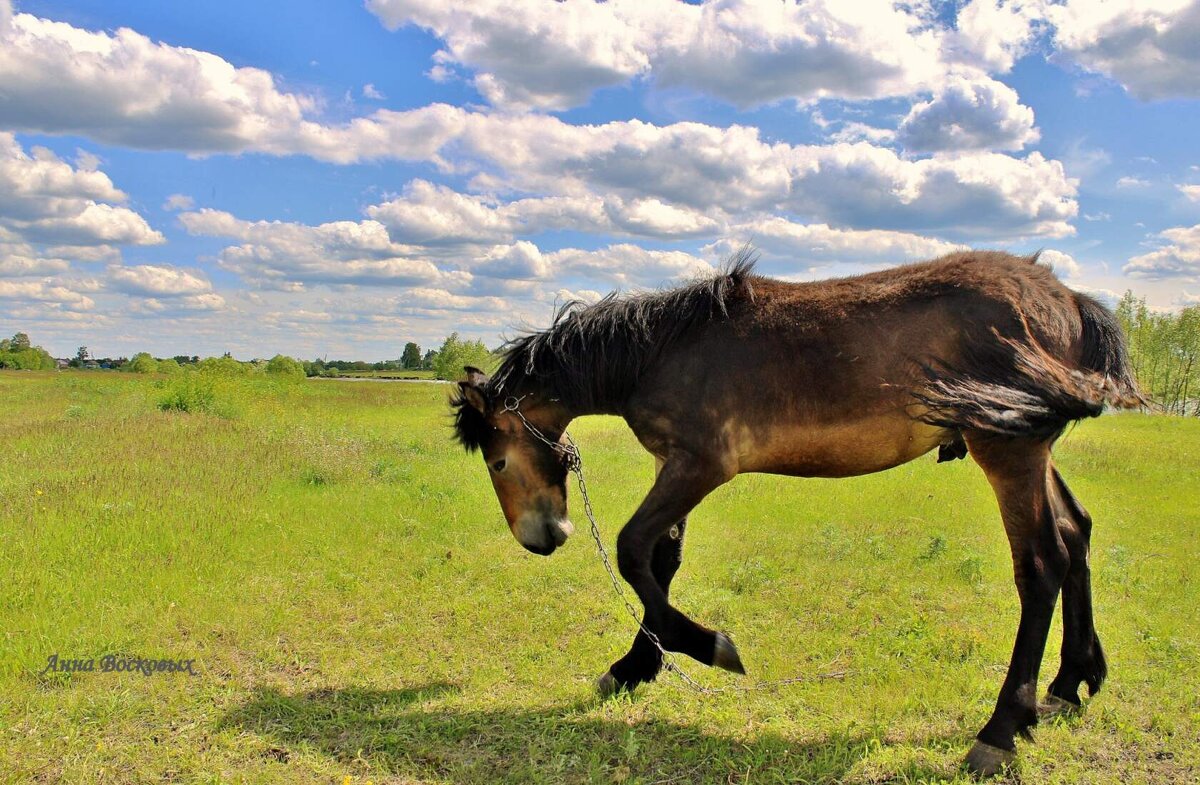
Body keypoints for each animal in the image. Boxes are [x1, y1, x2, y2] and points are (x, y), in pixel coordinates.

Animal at [451, 249, 1142, 777]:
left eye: (497, 463)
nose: (543, 537)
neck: (663, 351)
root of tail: (1068, 297)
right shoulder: (673, 466)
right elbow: (660, 562)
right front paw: (633, 668)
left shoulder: (698, 466)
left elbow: (631, 551)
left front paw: (711, 648)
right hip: (1028, 444)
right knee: (1076, 534)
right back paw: (1069, 683)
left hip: (1007, 447)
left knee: (1042, 564)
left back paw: (999, 731)